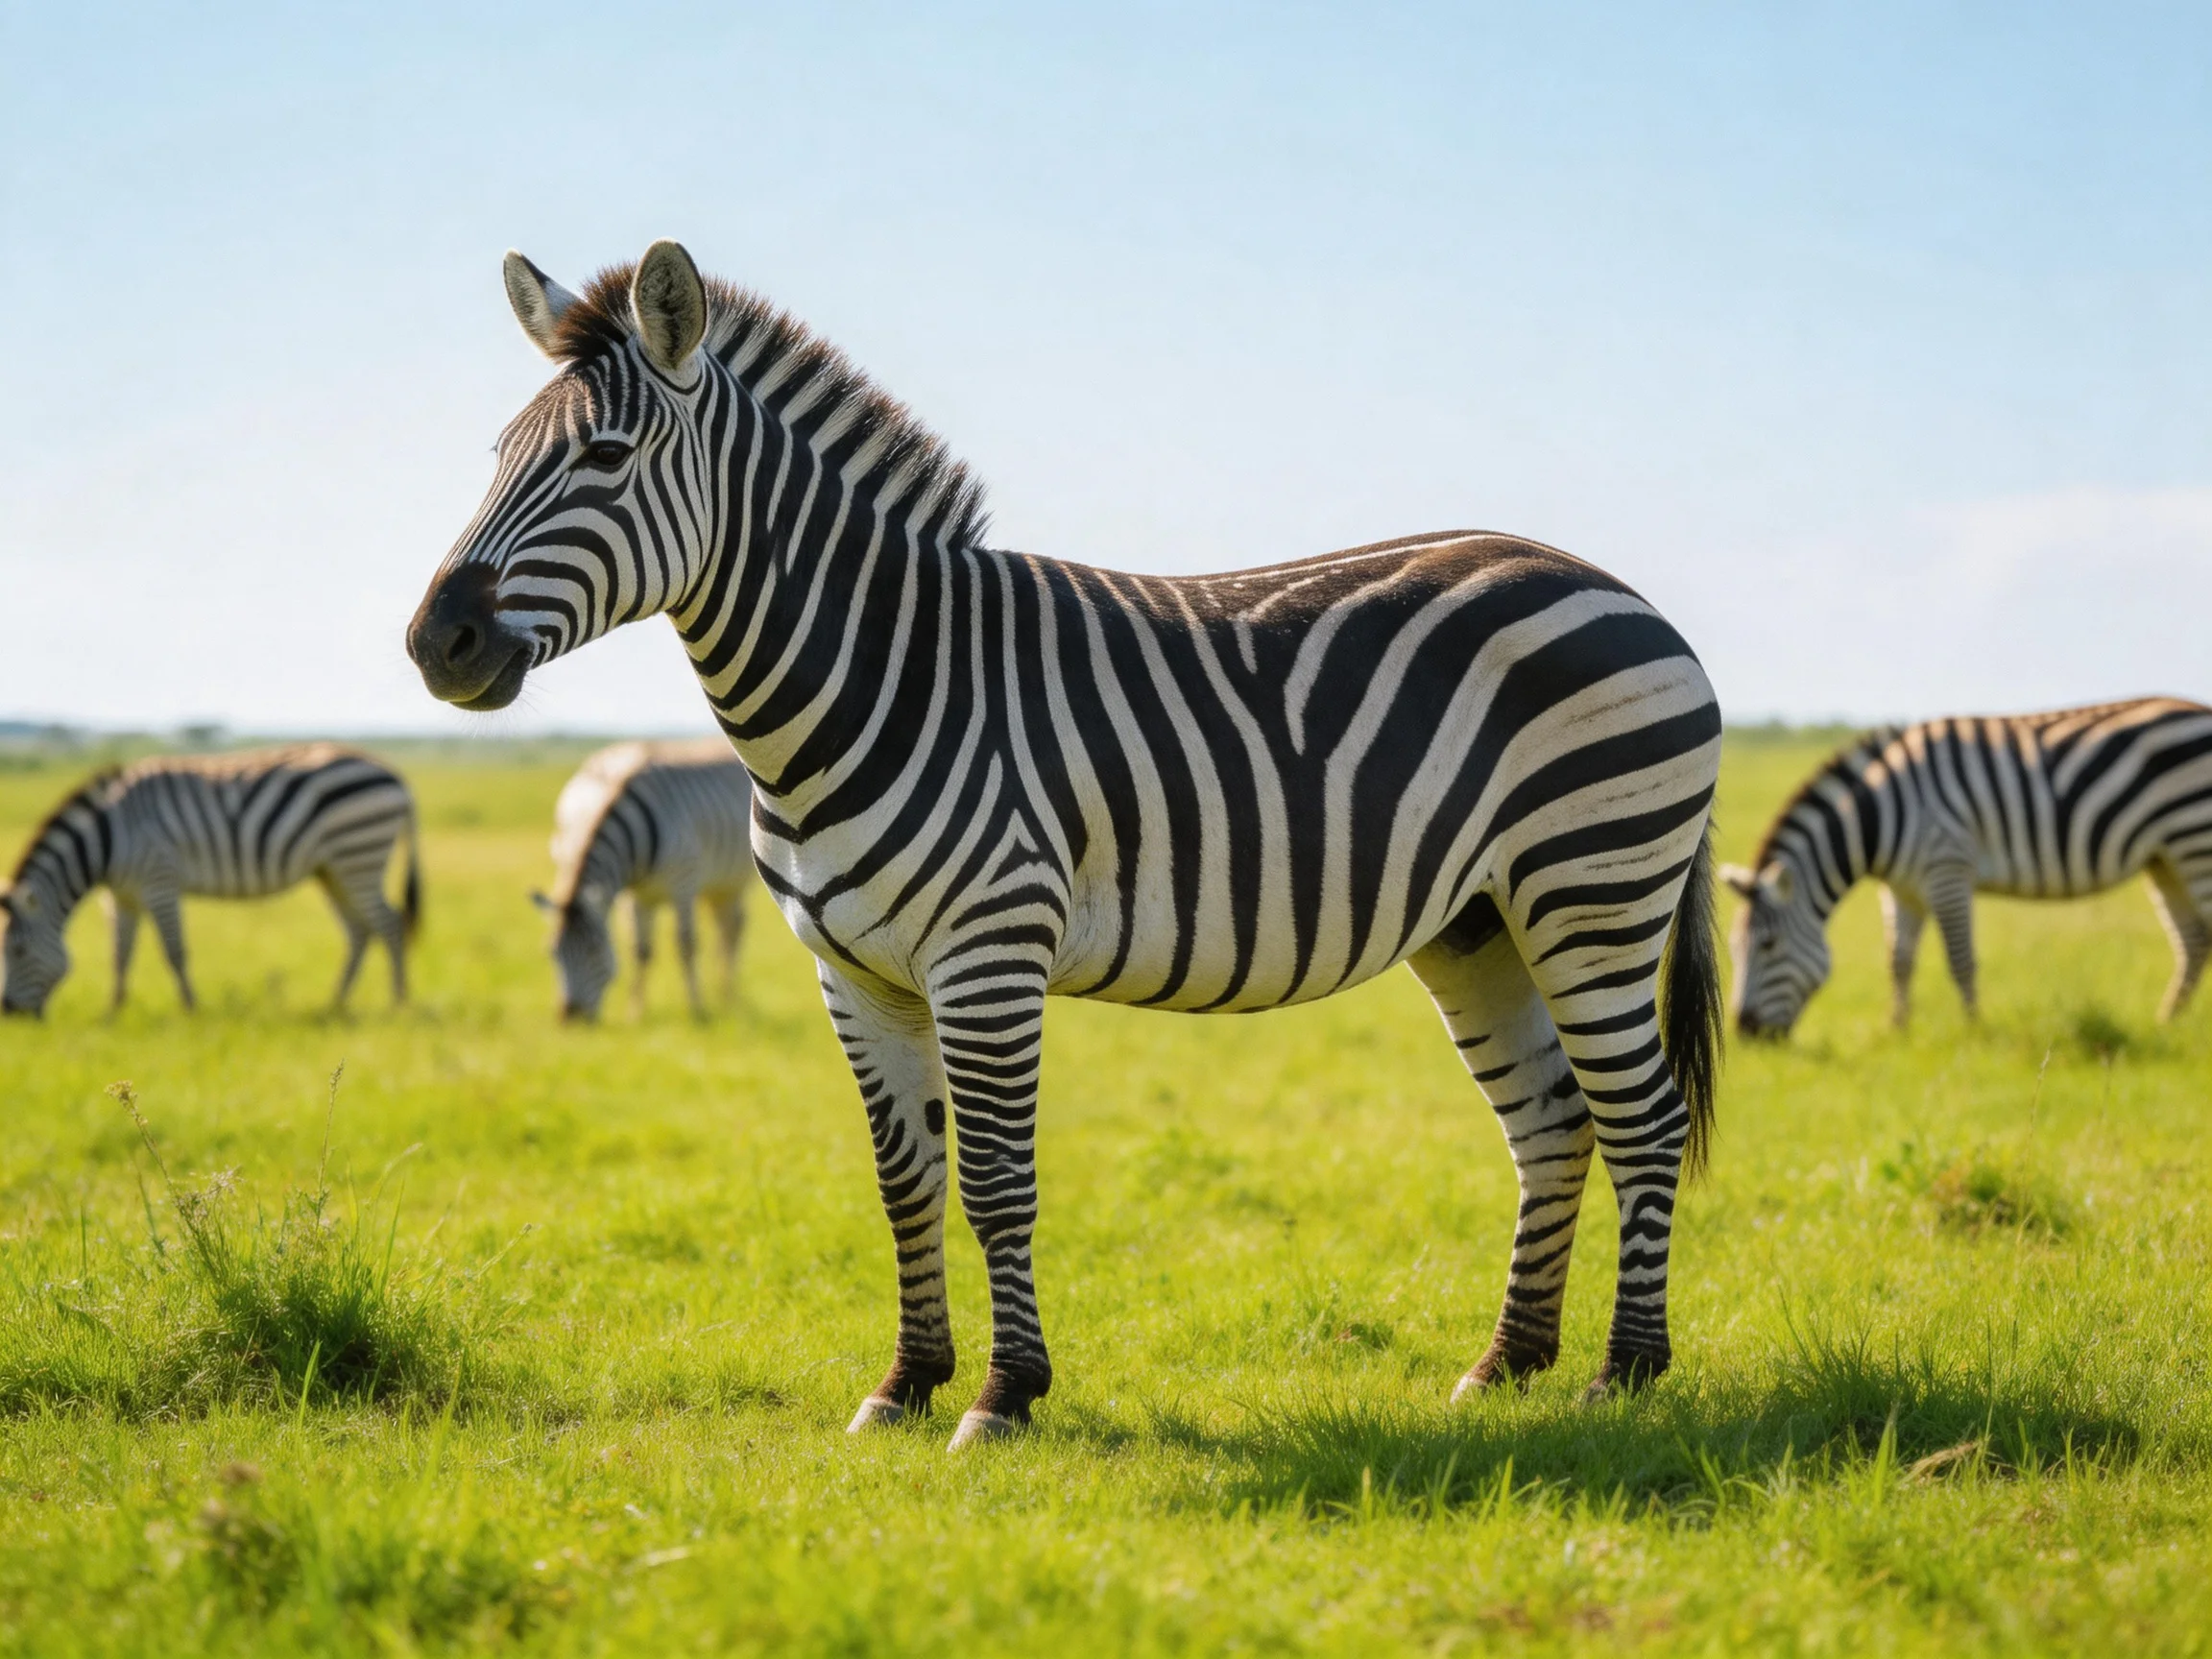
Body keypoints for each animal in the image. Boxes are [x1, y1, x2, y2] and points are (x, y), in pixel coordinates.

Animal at [0, 745, 419, 1017]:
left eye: (17, 951)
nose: (8, 1012)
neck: (107, 838)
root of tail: (393, 772)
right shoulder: (121, 895)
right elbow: (120, 954)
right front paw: (113, 1012)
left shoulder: (159, 880)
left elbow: (174, 951)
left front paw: (191, 1009)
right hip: (333, 869)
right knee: (360, 931)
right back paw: (335, 1003)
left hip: (358, 855)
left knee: (389, 923)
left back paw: (398, 1002)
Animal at [535, 737, 755, 1020]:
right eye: (553, 952)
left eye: (594, 950)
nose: (570, 1016)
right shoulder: (636, 894)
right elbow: (640, 951)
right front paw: (635, 1012)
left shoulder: (684, 882)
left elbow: (686, 944)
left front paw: (696, 1008)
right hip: (718, 884)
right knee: (725, 927)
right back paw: (723, 994)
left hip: (736, 877)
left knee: (734, 929)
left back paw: (729, 998)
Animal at [1723, 698, 2212, 1037]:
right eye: (1732, 949)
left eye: (1767, 945)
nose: (1745, 1032)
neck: (1883, 814)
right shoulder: (1901, 888)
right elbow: (1898, 960)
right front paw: (1896, 1029)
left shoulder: (1947, 869)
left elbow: (1960, 959)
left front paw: (1975, 1028)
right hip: (2165, 858)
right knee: (2191, 940)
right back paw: (2166, 1022)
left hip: (2195, 837)